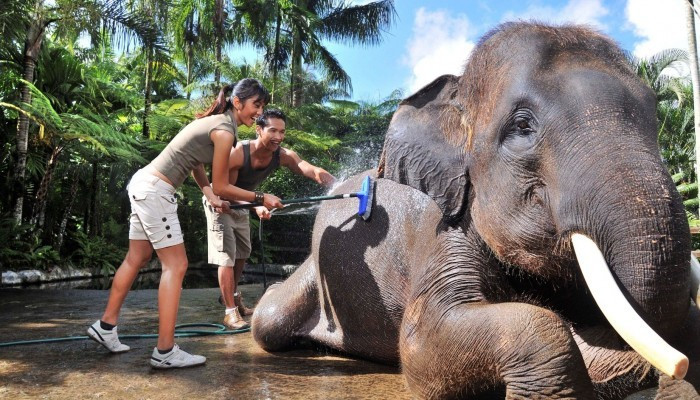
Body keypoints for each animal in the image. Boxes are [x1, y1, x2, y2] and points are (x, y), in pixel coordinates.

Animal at [252, 22, 700, 400]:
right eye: (522, 127)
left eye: (654, 114)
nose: (679, 366)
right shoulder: (444, 229)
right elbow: (420, 341)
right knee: (269, 319)